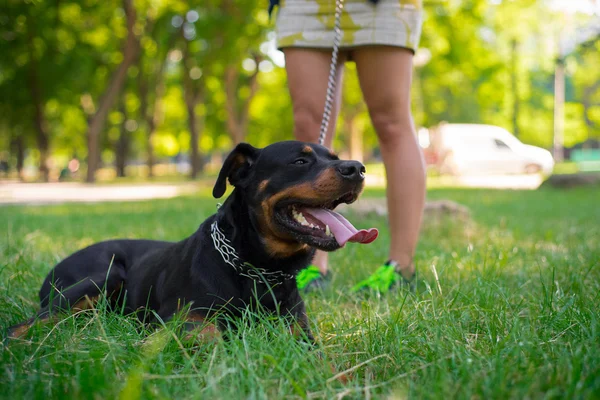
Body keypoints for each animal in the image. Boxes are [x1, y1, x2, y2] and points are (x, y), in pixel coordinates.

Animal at [7, 140, 378, 340]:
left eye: (334, 157)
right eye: (300, 160)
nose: (357, 168)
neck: (256, 268)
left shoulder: (297, 330)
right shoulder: (182, 318)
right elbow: (209, 334)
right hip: (103, 276)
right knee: (21, 326)